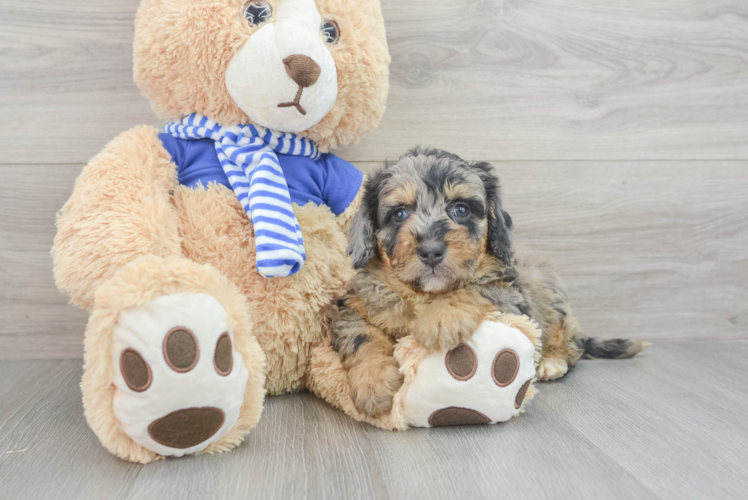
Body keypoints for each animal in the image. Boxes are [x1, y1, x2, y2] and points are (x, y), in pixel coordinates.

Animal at [328, 147, 648, 418]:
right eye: (399, 213)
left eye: (460, 209)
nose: (431, 250)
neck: (424, 295)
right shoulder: (352, 307)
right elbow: (362, 337)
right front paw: (374, 385)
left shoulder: (510, 296)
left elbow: (477, 287)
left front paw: (442, 319)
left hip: (548, 291)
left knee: (571, 340)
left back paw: (552, 361)